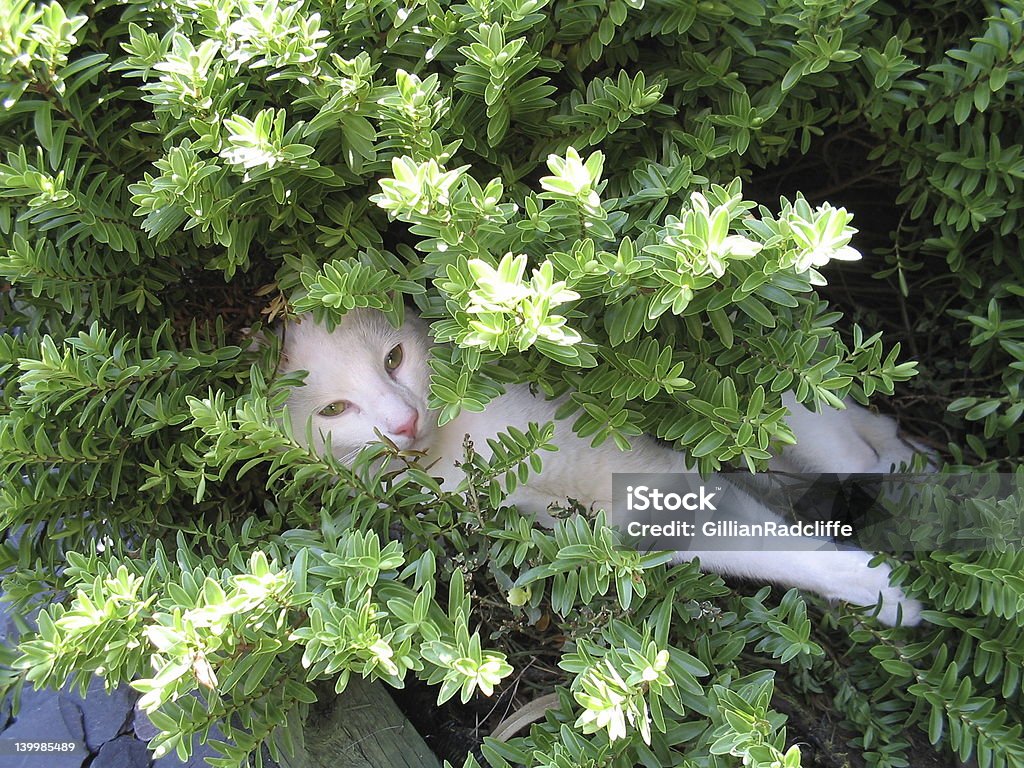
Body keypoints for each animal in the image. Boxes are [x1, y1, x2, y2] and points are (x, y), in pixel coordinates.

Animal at [280, 309, 929, 626]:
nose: (404, 421)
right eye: (334, 410)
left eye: (394, 359)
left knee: (861, 448)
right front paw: (883, 592)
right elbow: (771, 552)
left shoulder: (658, 466)